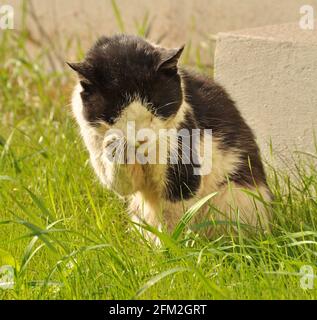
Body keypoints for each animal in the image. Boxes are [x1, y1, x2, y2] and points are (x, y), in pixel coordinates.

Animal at [69, 35, 272, 240]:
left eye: (155, 110)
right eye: (116, 116)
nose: (141, 140)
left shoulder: (182, 167)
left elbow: (174, 216)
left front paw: (172, 246)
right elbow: (121, 184)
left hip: (232, 195)